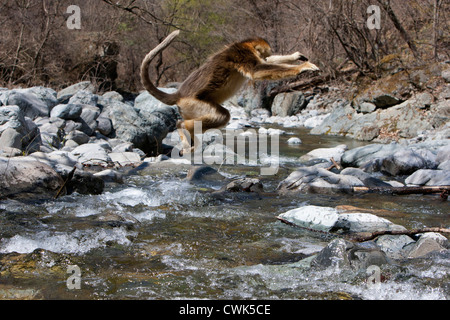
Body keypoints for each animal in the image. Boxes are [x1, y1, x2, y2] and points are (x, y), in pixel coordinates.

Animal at [141, 30, 320, 154]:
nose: (265, 55)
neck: (244, 44)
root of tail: (178, 94)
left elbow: (266, 64)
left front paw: (294, 56)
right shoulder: (242, 53)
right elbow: (257, 70)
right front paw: (302, 67)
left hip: (188, 108)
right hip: (192, 103)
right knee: (221, 116)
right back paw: (183, 126)